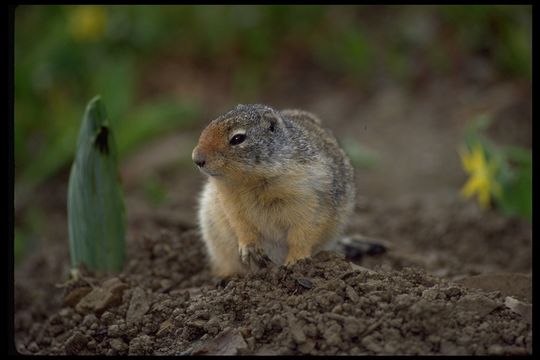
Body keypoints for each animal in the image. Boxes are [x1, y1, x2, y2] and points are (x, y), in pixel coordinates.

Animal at [192, 104, 356, 278]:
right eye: (210, 124)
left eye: (237, 138)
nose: (196, 159)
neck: (250, 181)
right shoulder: (229, 202)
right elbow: (241, 225)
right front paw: (250, 249)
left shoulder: (312, 199)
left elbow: (303, 233)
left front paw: (296, 261)